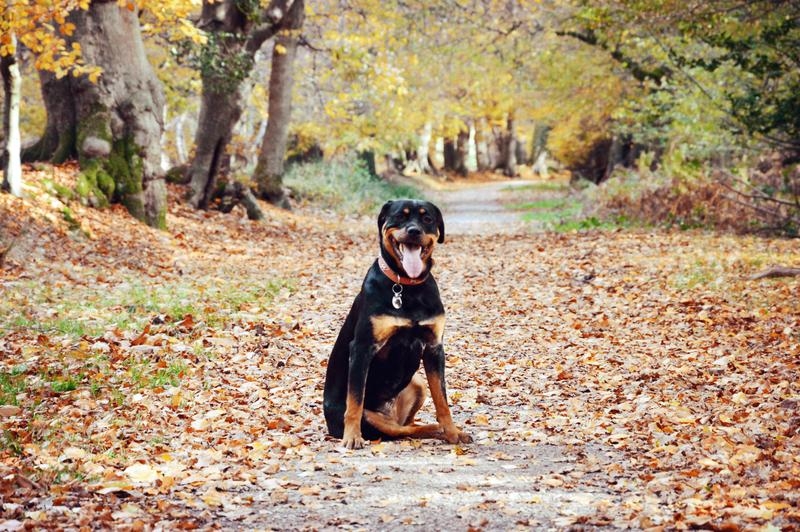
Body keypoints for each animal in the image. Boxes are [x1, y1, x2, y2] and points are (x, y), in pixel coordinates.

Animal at [324, 200, 472, 448]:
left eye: (427, 218)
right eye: (399, 216)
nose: (414, 231)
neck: (408, 287)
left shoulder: (434, 347)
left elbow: (442, 401)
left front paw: (453, 432)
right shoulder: (362, 348)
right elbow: (355, 400)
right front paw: (352, 436)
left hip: (418, 383)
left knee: (408, 425)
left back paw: (440, 430)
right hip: (374, 419)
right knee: (399, 430)